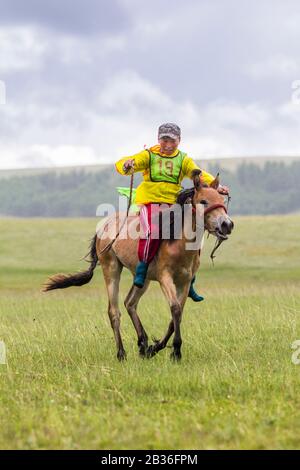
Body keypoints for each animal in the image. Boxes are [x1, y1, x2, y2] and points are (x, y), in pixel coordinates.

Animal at [42, 171, 234, 362]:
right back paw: (121, 353)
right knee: (114, 311)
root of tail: (104, 226)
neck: (179, 243)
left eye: (221, 200)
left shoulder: (185, 282)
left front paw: (156, 347)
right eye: (203, 201)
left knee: (130, 303)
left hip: (143, 278)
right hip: (111, 268)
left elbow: (176, 316)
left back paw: (143, 344)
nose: (227, 224)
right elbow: (175, 309)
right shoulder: (165, 278)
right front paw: (176, 351)